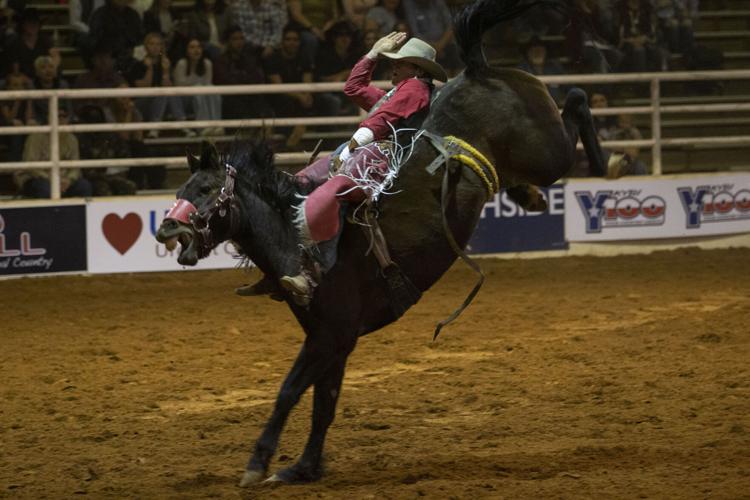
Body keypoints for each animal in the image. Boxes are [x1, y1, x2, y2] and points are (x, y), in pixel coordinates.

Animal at [156, 0, 608, 484]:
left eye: (205, 189)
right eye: (182, 187)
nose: (165, 230)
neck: (290, 238)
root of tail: (476, 68)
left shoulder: (331, 335)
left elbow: (290, 392)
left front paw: (259, 464)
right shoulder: (333, 338)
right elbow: (324, 403)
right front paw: (304, 467)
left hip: (547, 152)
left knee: (576, 101)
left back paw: (608, 163)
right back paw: (530, 195)